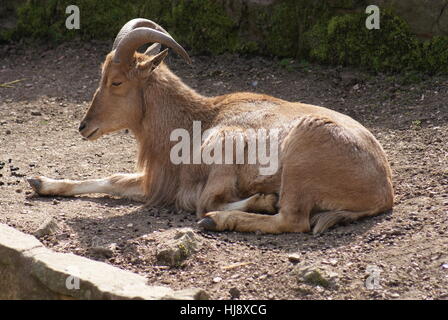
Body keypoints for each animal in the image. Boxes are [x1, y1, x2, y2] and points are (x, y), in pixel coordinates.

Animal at [28, 17, 394, 234]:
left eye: (116, 82)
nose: (83, 126)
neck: (196, 122)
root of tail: (383, 190)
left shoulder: (225, 149)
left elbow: (205, 200)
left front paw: (258, 200)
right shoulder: (160, 182)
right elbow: (114, 179)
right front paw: (41, 182)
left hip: (301, 161)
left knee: (293, 219)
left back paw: (221, 220)